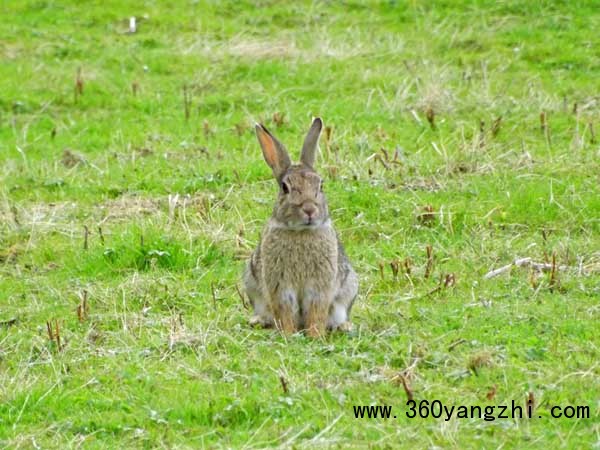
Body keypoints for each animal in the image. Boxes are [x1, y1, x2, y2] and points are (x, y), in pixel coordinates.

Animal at [243, 118, 358, 336]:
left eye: (321, 185)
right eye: (285, 188)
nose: (309, 209)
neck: (301, 232)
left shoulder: (320, 286)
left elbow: (316, 310)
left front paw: (315, 335)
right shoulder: (280, 286)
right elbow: (285, 310)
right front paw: (288, 334)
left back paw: (344, 326)